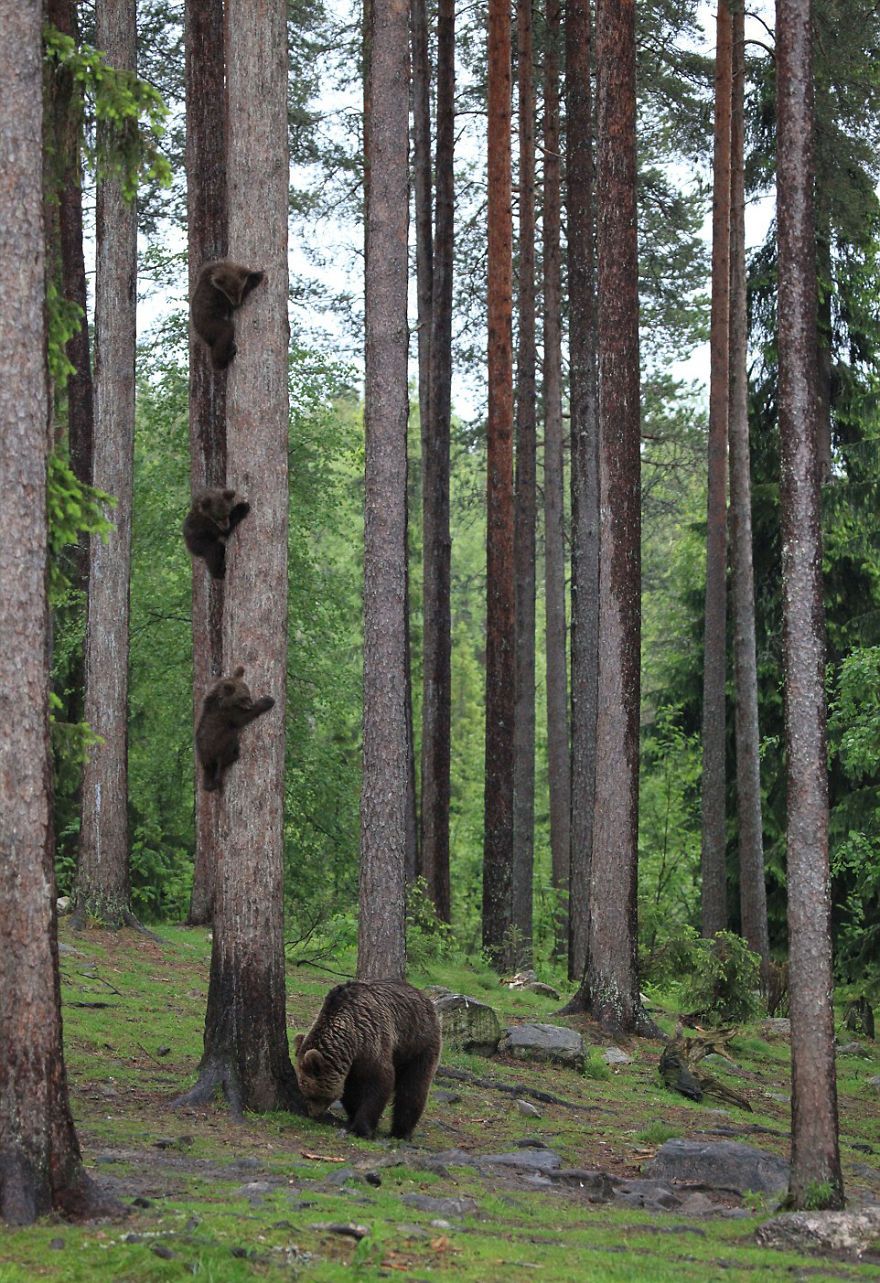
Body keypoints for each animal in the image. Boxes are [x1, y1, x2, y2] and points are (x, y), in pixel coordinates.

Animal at [295, 980, 441, 1144]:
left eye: (312, 1094)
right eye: (304, 1091)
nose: (313, 1114)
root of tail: (425, 997)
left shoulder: (371, 1039)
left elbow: (379, 1083)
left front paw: (363, 1129)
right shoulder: (352, 1064)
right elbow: (351, 1092)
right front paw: (352, 1118)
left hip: (418, 1043)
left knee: (414, 1086)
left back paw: (401, 1132)